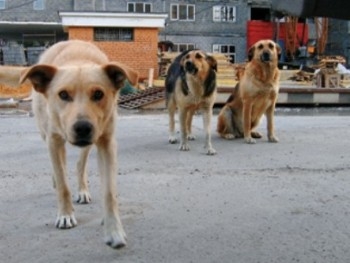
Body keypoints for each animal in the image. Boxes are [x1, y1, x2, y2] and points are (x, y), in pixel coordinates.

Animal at [19, 39, 138, 250]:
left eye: (98, 94)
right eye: (63, 94)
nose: (82, 127)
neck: (78, 60)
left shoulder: (106, 142)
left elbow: (109, 193)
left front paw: (114, 230)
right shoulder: (53, 139)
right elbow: (63, 184)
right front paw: (65, 214)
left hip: (91, 141)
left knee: (79, 164)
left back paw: (82, 190)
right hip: (46, 135)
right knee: (60, 166)